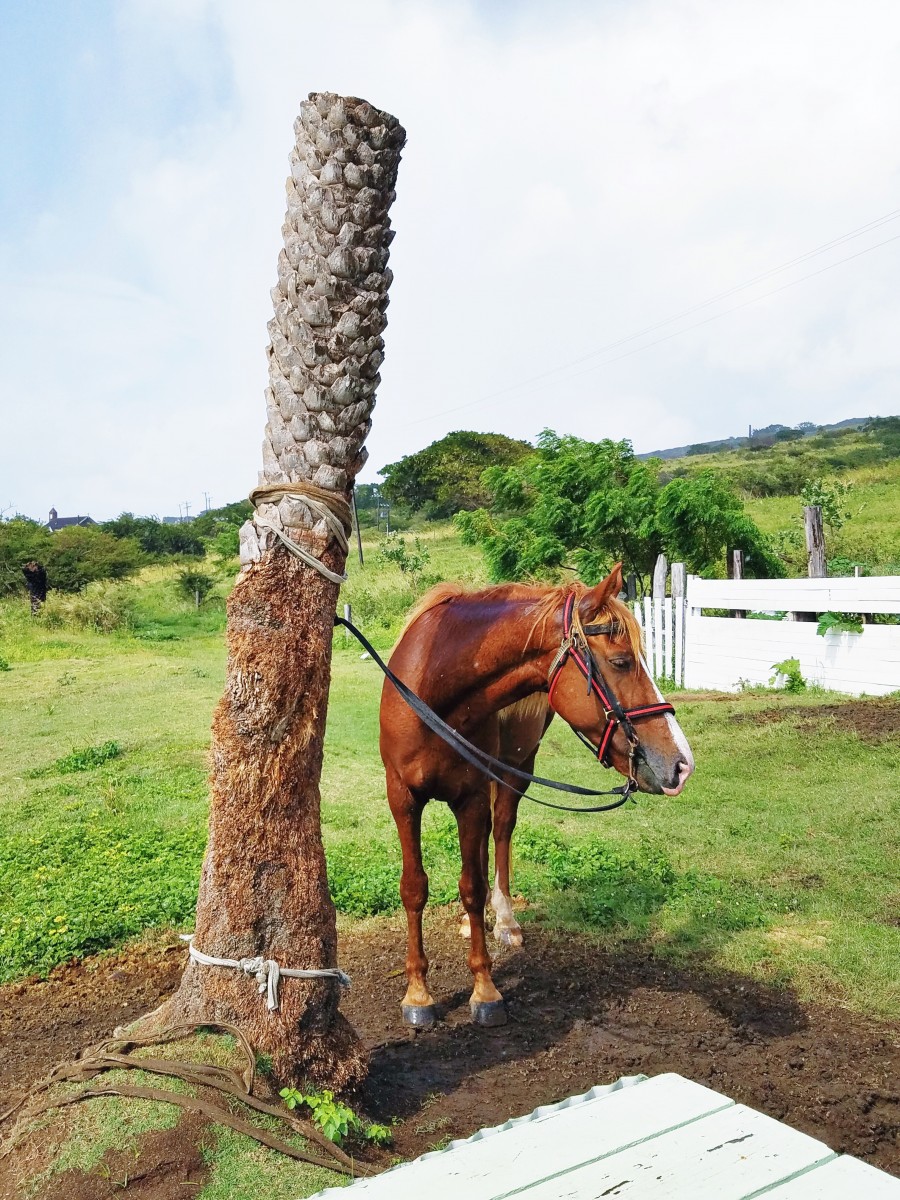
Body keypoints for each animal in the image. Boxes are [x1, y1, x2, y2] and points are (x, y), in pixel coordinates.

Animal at [376, 566, 696, 1027]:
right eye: (621, 661)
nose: (681, 763)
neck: (434, 691)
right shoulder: (403, 799)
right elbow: (414, 888)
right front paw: (417, 992)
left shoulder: (472, 797)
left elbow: (472, 884)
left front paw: (485, 988)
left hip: (515, 771)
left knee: (501, 832)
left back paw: (504, 919)